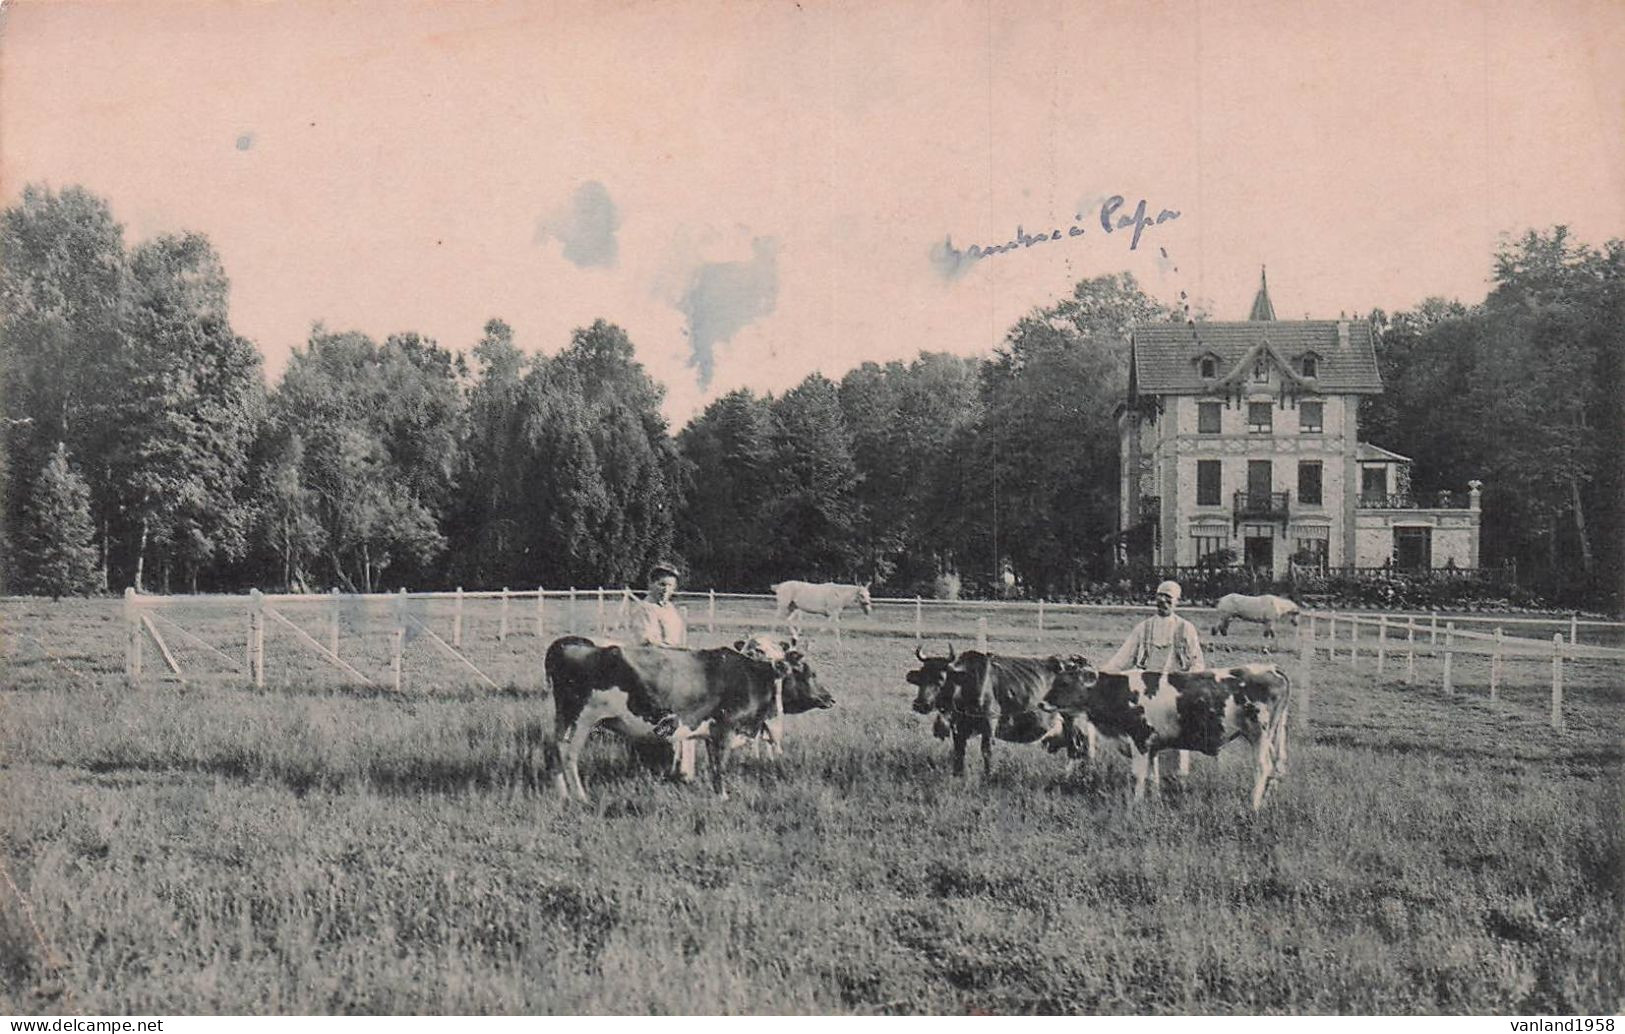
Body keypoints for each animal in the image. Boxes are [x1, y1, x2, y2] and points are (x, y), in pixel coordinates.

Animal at [1040, 663, 1293, 806]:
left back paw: (1254, 804)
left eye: (1064, 683)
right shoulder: (1152, 744)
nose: (1041, 703)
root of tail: (1271, 668)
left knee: (1263, 767)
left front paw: (1136, 803)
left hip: (1259, 733)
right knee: (1277, 767)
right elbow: (1153, 775)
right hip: (1273, 735)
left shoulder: (1140, 738)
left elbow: (1138, 775)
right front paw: (1155, 801)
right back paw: (1268, 799)